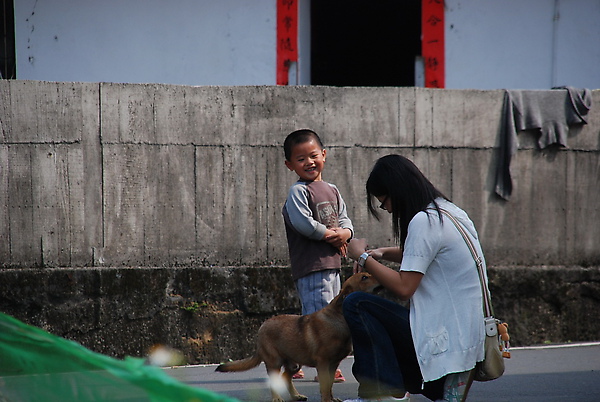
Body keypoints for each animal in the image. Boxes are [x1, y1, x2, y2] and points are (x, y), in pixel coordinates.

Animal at [216, 272, 380, 400]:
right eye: (364, 277)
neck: (339, 316)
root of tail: (262, 327)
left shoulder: (333, 364)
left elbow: (330, 385)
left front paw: (332, 399)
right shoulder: (323, 362)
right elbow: (325, 386)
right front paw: (327, 400)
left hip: (295, 363)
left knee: (286, 378)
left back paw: (296, 396)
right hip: (274, 362)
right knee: (275, 381)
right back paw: (277, 398)